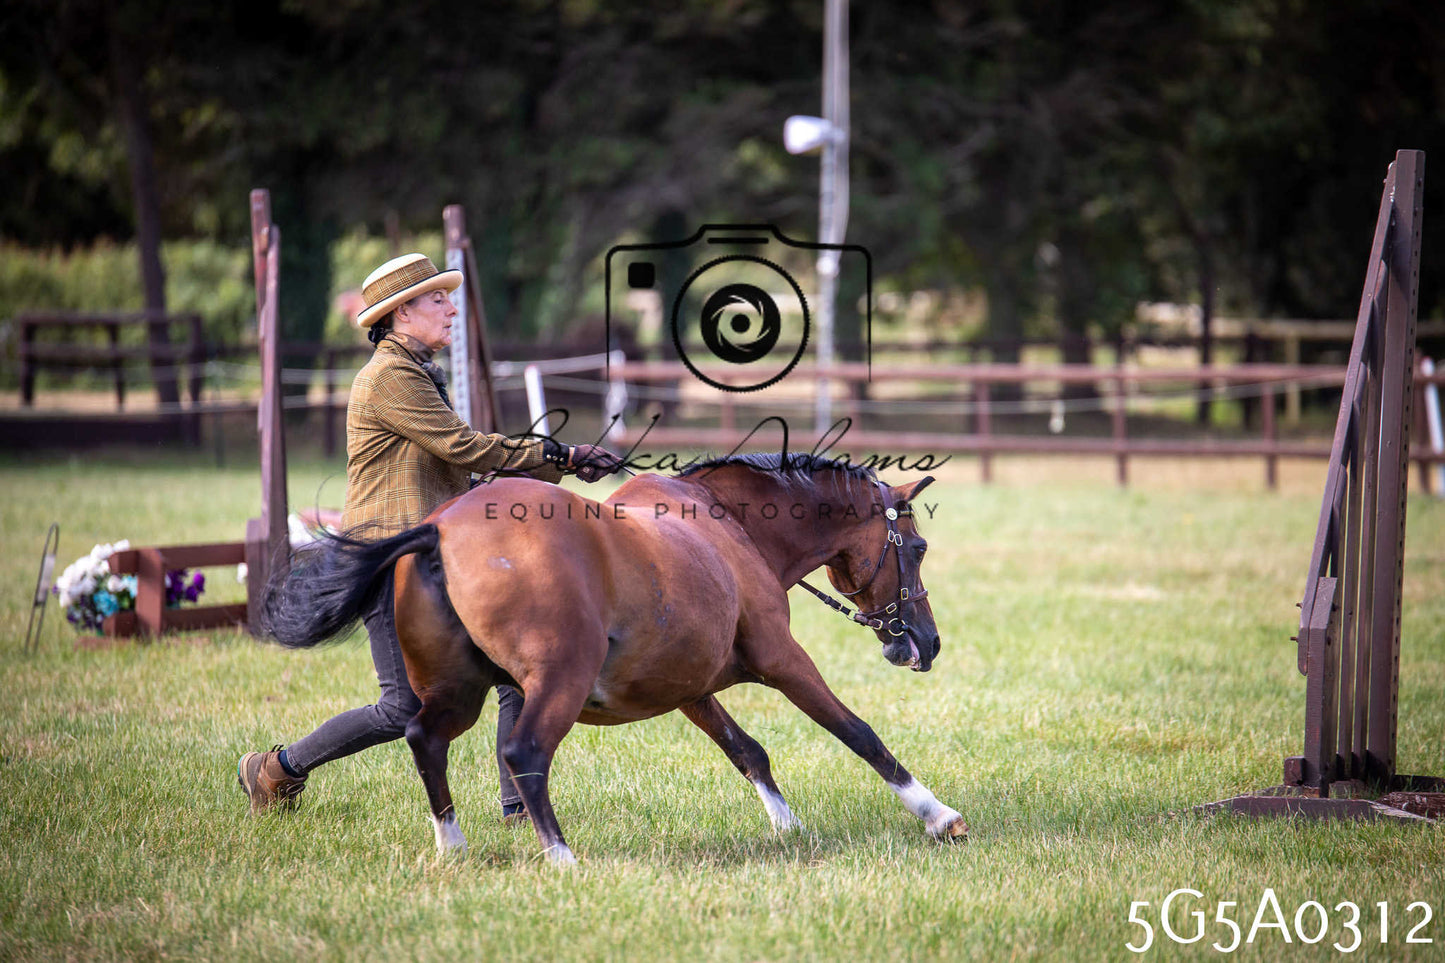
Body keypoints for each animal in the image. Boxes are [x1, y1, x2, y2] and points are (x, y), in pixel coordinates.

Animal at [262, 452, 966, 865]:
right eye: (920, 548)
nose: (928, 643)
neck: (728, 526)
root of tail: (437, 528)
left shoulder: (691, 690)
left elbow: (748, 752)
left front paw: (787, 828)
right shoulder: (783, 660)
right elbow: (859, 734)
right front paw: (939, 817)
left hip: (458, 691)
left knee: (423, 738)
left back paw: (453, 846)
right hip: (559, 681)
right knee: (522, 752)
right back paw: (561, 859)